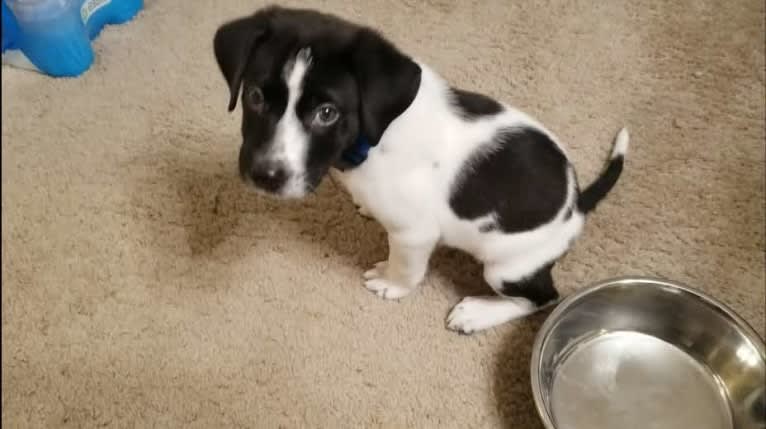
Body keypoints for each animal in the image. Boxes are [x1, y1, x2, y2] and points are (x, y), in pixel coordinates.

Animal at [212, 5, 632, 334]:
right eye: (255, 96)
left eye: (326, 113)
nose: (266, 176)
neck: (372, 140)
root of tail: (576, 205)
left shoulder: (414, 233)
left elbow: (406, 267)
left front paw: (391, 284)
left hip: (507, 269)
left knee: (542, 298)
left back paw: (478, 313)